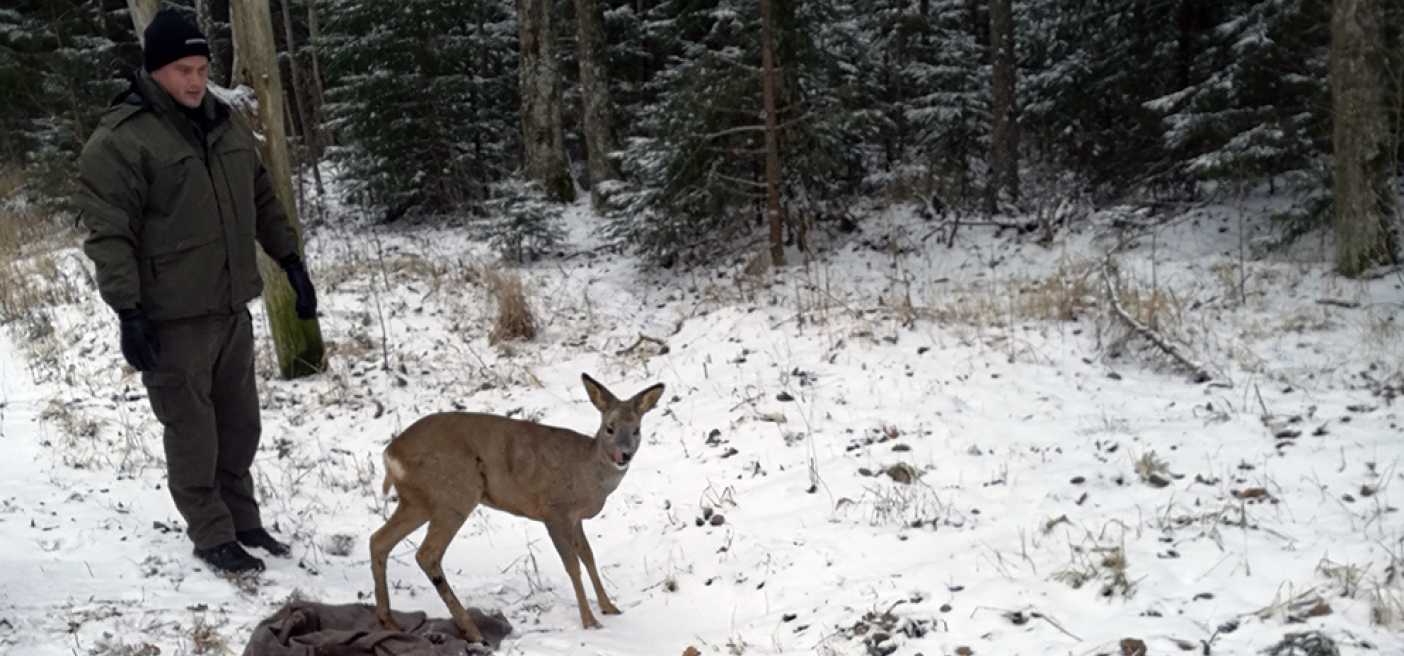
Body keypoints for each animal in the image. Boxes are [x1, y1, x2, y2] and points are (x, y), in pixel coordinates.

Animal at [367, 373, 662, 643]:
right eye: (609, 428)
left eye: (636, 430)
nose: (624, 455)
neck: (588, 472)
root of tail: (390, 454)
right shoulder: (554, 509)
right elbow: (572, 565)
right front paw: (590, 621)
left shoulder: (574, 517)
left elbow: (589, 556)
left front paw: (610, 607)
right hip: (455, 493)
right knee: (426, 554)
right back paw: (472, 631)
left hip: (417, 501)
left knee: (378, 540)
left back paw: (389, 620)